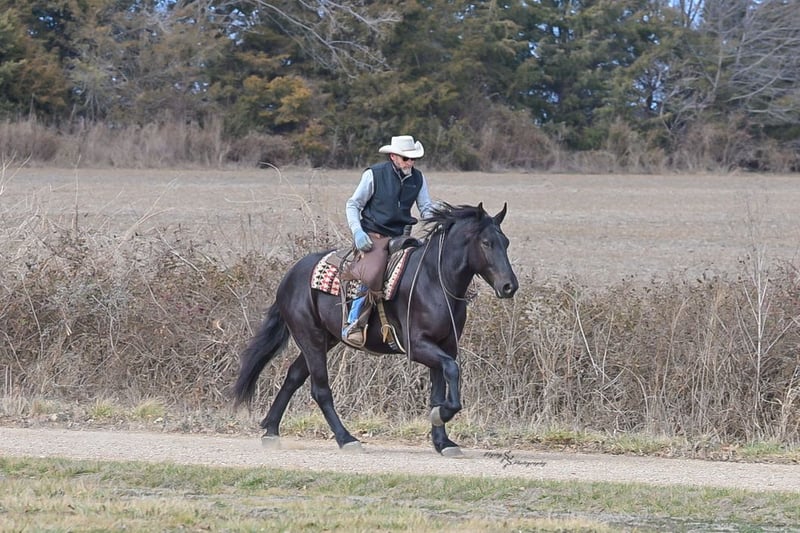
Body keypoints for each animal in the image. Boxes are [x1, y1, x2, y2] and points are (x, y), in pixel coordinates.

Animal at [233, 202, 518, 456]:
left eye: (505, 242)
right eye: (486, 243)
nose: (509, 286)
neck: (435, 281)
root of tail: (290, 276)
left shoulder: (443, 345)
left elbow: (438, 391)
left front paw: (443, 442)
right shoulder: (419, 346)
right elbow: (451, 371)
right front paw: (443, 416)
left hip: (323, 339)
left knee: (293, 376)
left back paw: (271, 431)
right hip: (310, 338)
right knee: (320, 389)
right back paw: (346, 439)